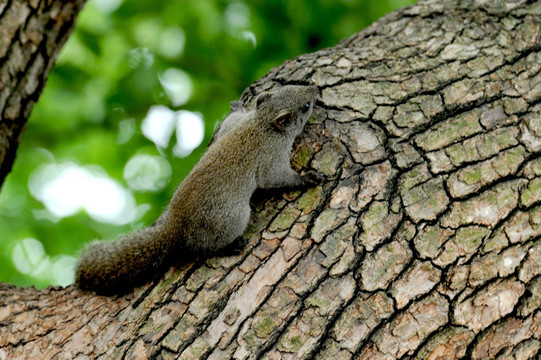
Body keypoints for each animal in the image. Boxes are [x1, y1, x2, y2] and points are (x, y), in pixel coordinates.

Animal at [76, 85, 320, 296]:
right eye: (306, 106)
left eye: (291, 86)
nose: (315, 88)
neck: (262, 122)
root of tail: (175, 228)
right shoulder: (271, 157)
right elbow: (276, 178)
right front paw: (307, 178)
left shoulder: (236, 125)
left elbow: (230, 122)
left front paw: (239, 106)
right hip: (232, 218)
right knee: (201, 248)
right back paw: (230, 247)